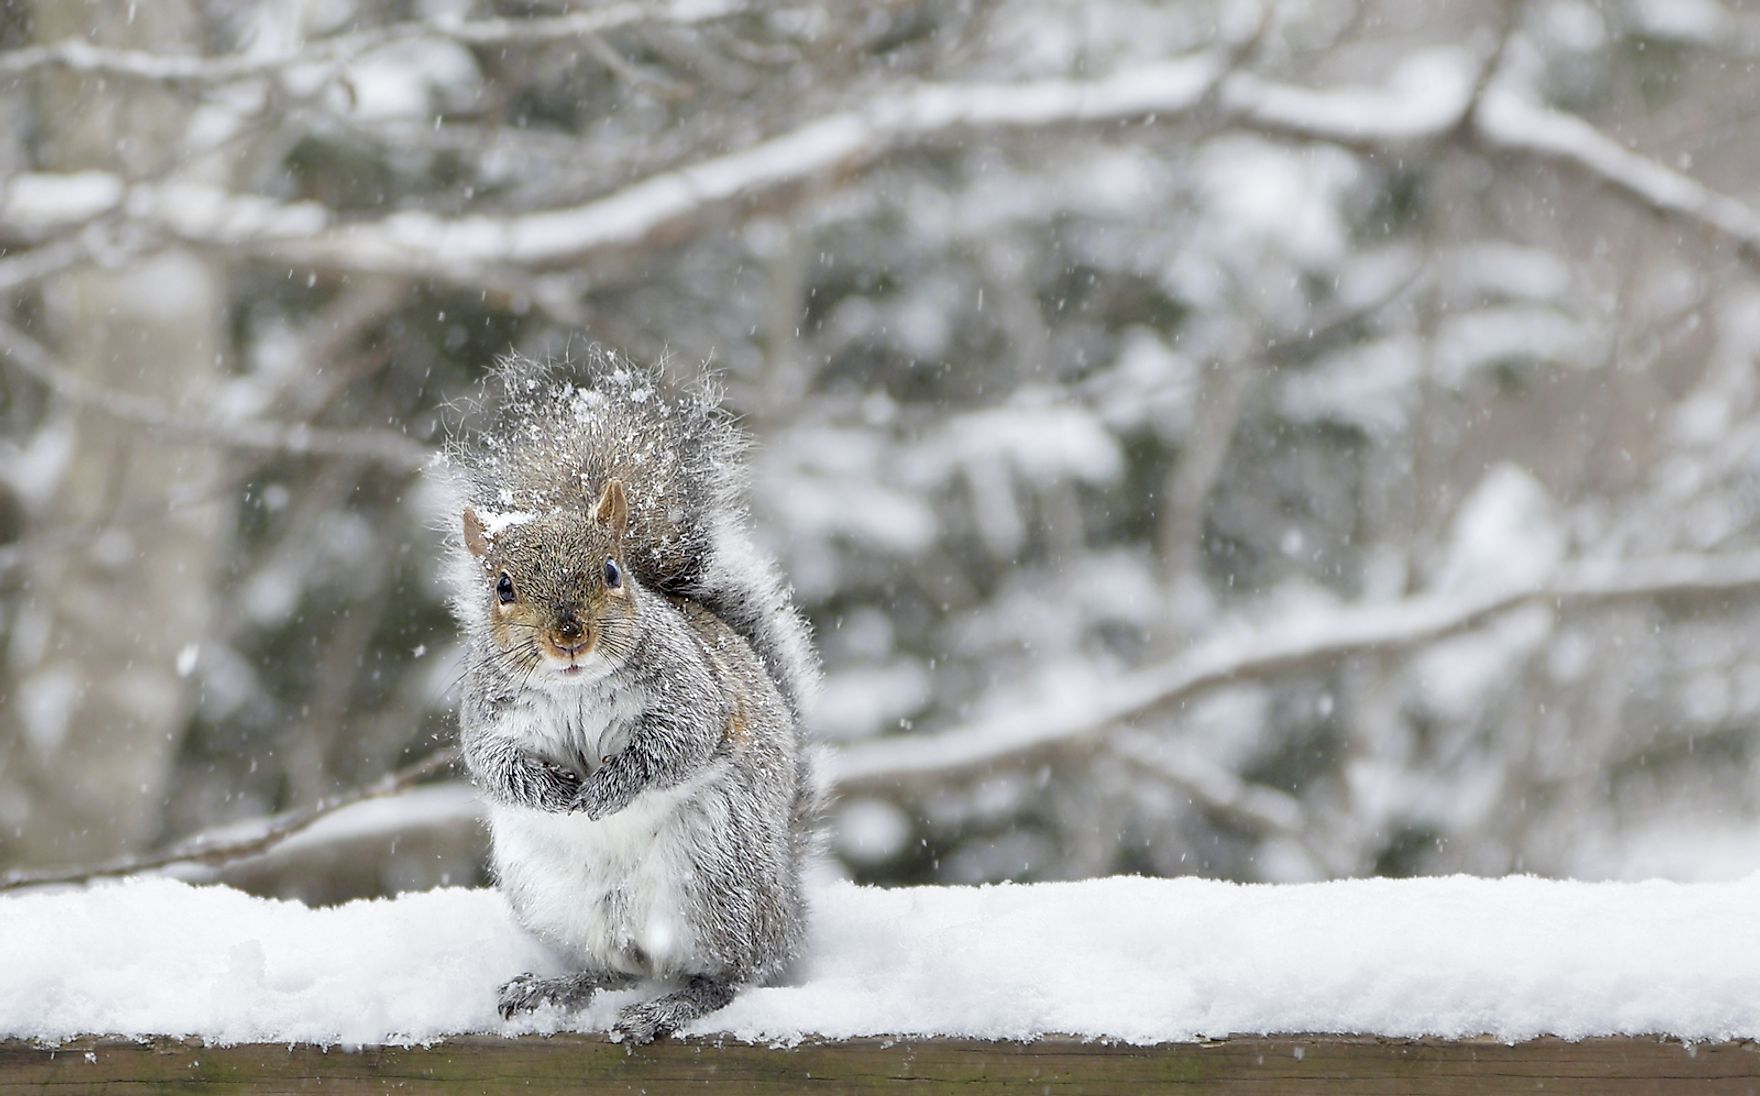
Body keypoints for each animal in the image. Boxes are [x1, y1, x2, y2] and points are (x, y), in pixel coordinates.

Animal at [440, 353, 823, 1048]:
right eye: (503, 587)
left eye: (613, 572)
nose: (569, 636)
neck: (573, 687)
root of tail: (789, 902)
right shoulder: (489, 722)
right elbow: (497, 768)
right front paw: (553, 791)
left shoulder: (694, 695)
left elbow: (674, 745)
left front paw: (605, 789)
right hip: (552, 899)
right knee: (612, 968)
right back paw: (554, 987)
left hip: (717, 875)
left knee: (738, 972)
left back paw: (673, 1006)